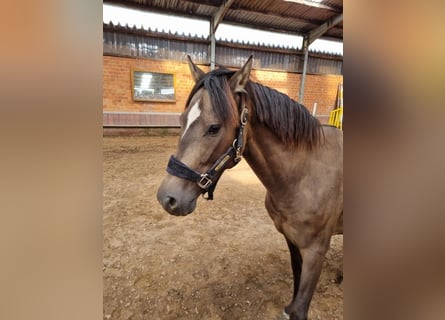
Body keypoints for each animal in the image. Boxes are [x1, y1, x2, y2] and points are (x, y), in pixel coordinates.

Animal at [157, 55, 344, 320]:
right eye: (182, 121)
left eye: (214, 127)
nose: (168, 198)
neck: (304, 173)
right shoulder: (292, 241)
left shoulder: (316, 251)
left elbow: (298, 310)